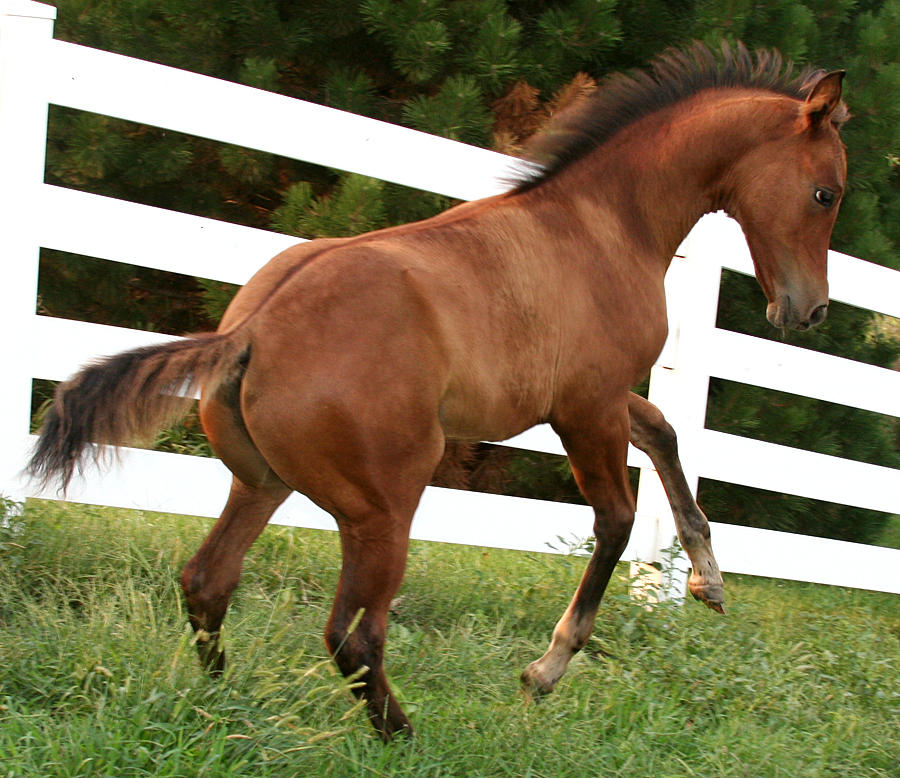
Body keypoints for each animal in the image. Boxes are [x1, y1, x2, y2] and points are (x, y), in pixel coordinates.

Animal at [28, 43, 847, 740]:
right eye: (824, 192)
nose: (808, 310)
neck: (605, 225)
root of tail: (252, 330)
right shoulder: (585, 407)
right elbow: (615, 519)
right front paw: (544, 671)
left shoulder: (602, 397)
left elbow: (666, 437)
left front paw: (709, 581)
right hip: (384, 506)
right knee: (354, 634)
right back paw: (403, 734)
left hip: (261, 483)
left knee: (209, 582)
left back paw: (225, 703)